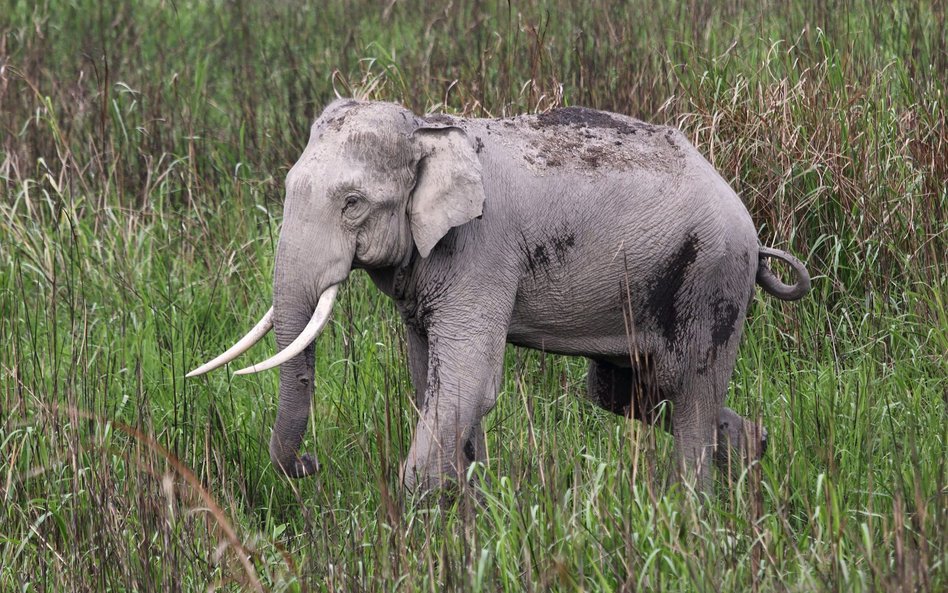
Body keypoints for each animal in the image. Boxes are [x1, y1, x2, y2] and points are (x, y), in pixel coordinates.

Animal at [189, 99, 812, 492]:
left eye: (352, 204)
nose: (310, 464)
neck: (428, 129)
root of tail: (754, 236)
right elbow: (430, 379)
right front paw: (476, 506)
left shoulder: (481, 250)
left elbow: (469, 381)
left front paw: (432, 508)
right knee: (627, 390)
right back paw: (755, 450)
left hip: (711, 275)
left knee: (689, 389)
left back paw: (693, 514)